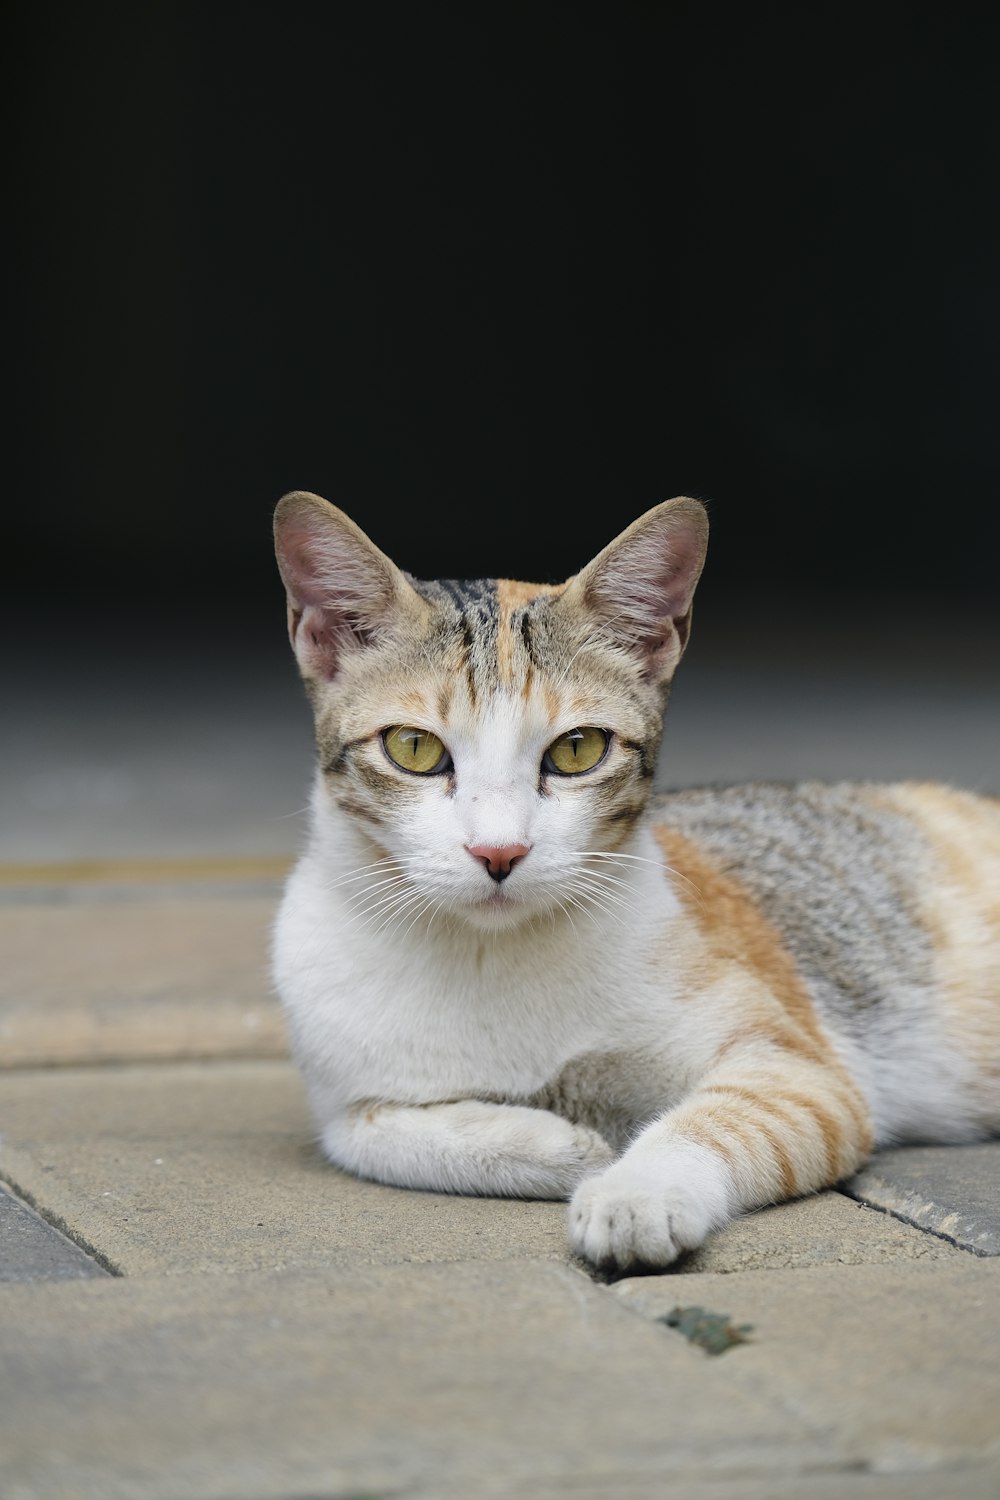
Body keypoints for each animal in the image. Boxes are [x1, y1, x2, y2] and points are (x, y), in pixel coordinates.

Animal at [269, 492, 1000, 1266]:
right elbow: (381, 1137)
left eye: (577, 751)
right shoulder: (347, 1101)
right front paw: (566, 1145)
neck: (490, 956)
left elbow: (716, 1119)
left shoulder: (799, 1070)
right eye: (413, 748)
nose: (499, 852)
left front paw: (635, 1191)